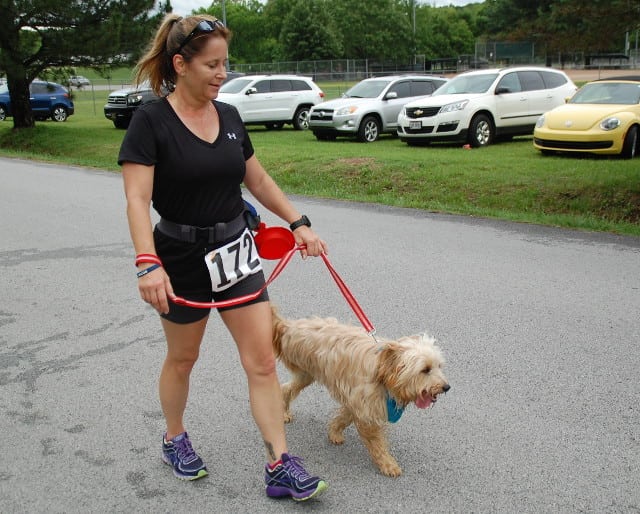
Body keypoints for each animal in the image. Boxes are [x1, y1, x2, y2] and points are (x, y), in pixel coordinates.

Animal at [272, 304, 450, 476]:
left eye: (439, 366)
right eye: (425, 370)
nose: (446, 387)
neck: (383, 371)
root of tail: (289, 326)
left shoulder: (357, 401)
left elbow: (343, 418)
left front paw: (334, 432)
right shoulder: (365, 408)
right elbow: (376, 442)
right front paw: (388, 464)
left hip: (305, 374)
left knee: (286, 389)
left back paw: (284, 411)